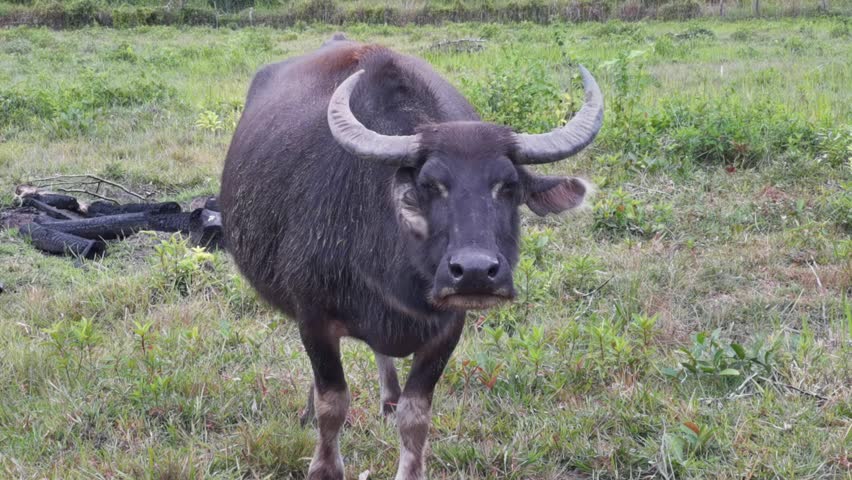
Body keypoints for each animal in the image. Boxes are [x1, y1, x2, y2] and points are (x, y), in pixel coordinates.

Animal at [220, 33, 603, 480]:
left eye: (508, 187)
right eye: (430, 184)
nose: (475, 272)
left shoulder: (447, 328)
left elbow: (415, 415)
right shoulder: (313, 317)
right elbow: (334, 403)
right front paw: (323, 462)